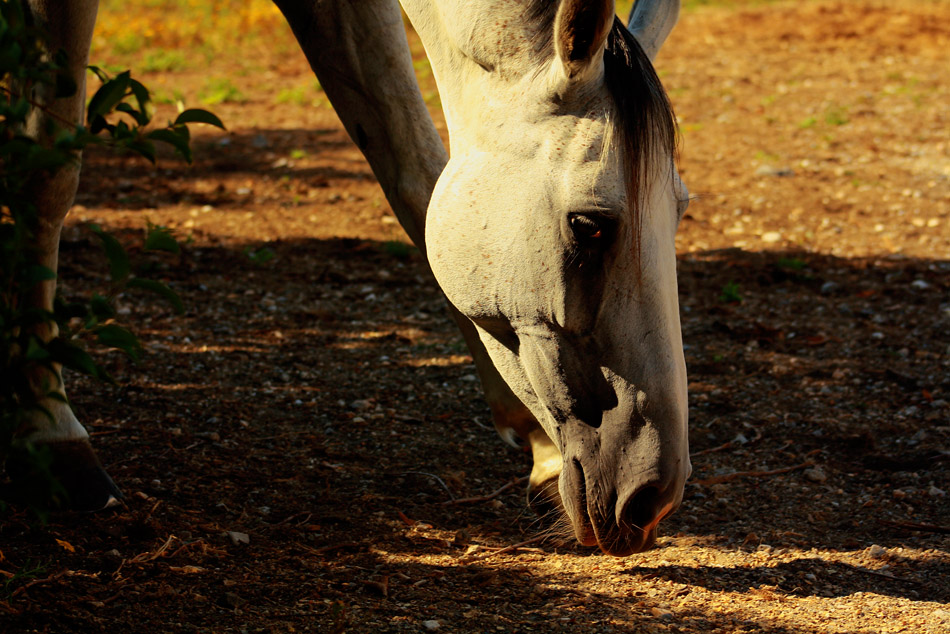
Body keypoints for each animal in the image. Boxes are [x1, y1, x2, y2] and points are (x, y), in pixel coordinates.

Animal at [16, 0, 690, 556]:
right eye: (590, 225)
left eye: (681, 207)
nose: (652, 499)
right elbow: (48, 169)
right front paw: (52, 433)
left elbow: (413, 168)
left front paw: (540, 450)